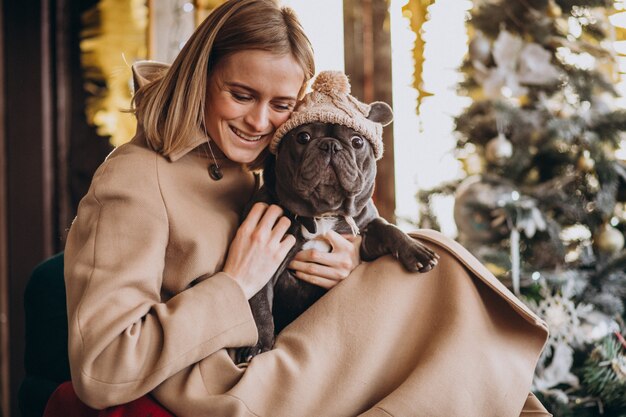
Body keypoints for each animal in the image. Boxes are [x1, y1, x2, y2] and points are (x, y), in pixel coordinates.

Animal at [235, 70, 438, 360]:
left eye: (357, 141)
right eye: (303, 137)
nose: (330, 145)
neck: (324, 214)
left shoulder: (363, 234)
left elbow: (387, 227)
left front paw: (415, 250)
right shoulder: (266, 257)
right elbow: (259, 304)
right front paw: (258, 344)